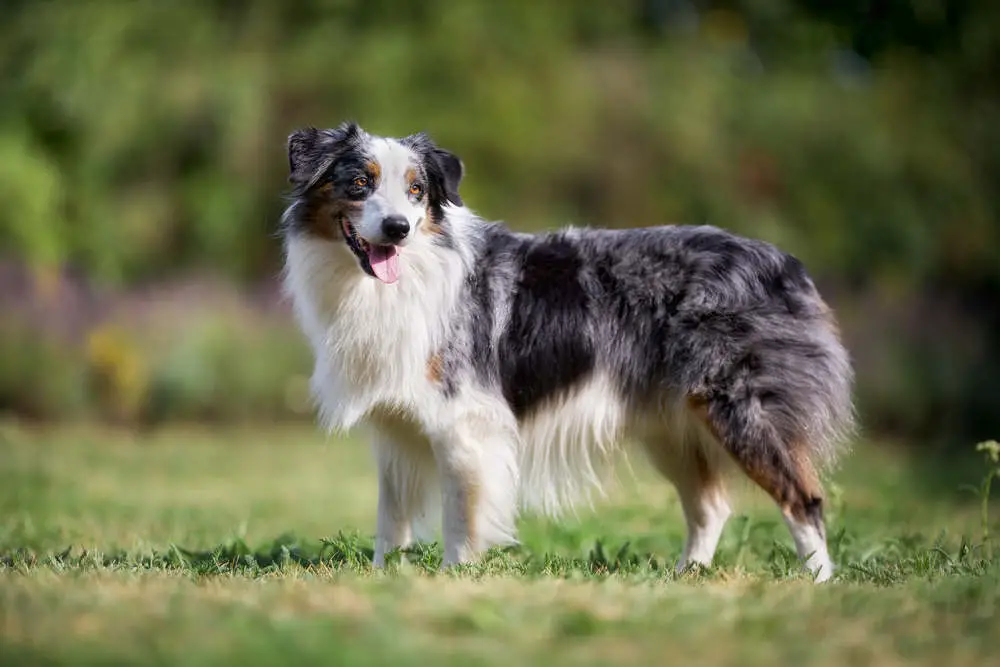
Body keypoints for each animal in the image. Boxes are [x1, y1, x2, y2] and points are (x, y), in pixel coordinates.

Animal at [280, 122, 852, 580]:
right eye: (360, 183)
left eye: (416, 191)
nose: (397, 229)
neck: (389, 282)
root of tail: (786, 263)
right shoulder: (395, 428)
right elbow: (390, 519)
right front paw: (384, 581)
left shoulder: (465, 425)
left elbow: (461, 516)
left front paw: (452, 580)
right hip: (670, 426)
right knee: (710, 506)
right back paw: (686, 577)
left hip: (740, 409)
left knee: (804, 498)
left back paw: (819, 584)